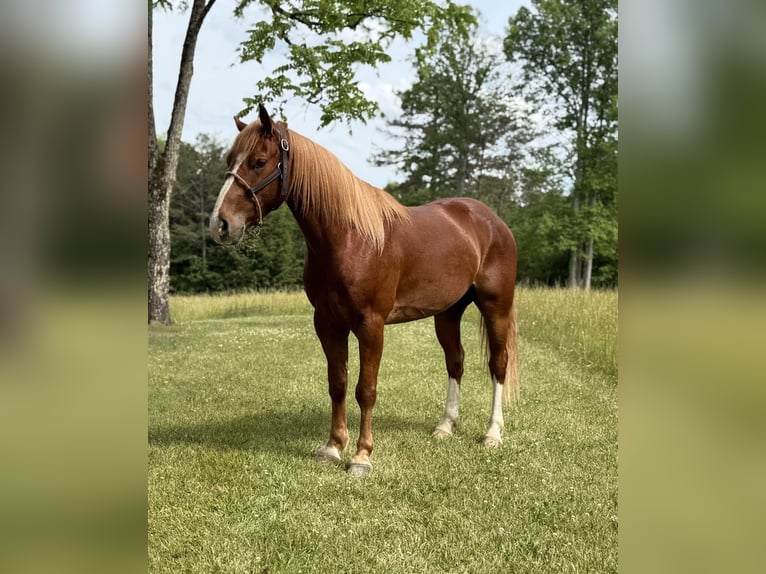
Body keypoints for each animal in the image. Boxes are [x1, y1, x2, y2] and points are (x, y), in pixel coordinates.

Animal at [209, 104, 518, 476]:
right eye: (229, 159)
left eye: (258, 161)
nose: (220, 224)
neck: (350, 239)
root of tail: (491, 220)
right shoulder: (327, 323)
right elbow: (338, 384)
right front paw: (332, 447)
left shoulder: (371, 326)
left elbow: (365, 390)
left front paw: (361, 455)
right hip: (448, 313)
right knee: (455, 362)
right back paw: (445, 427)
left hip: (495, 306)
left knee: (498, 364)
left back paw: (493, 433)